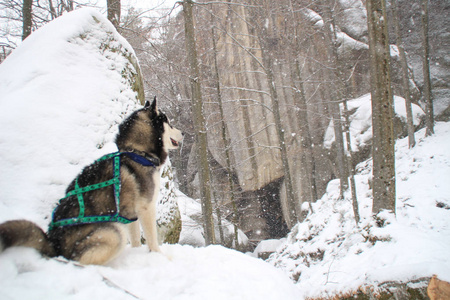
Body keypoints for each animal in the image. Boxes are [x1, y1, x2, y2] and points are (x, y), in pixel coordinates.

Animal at [0, 98, 183, 264]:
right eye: (168, 123)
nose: (183, 133)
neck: (137, 153)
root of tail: (54, 244)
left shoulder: (131, 213)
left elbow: (136, 239)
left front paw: (137, 253)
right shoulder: (146, 208)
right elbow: (152, 239)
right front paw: (161, 258)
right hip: (113, 231)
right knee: (80, 260)